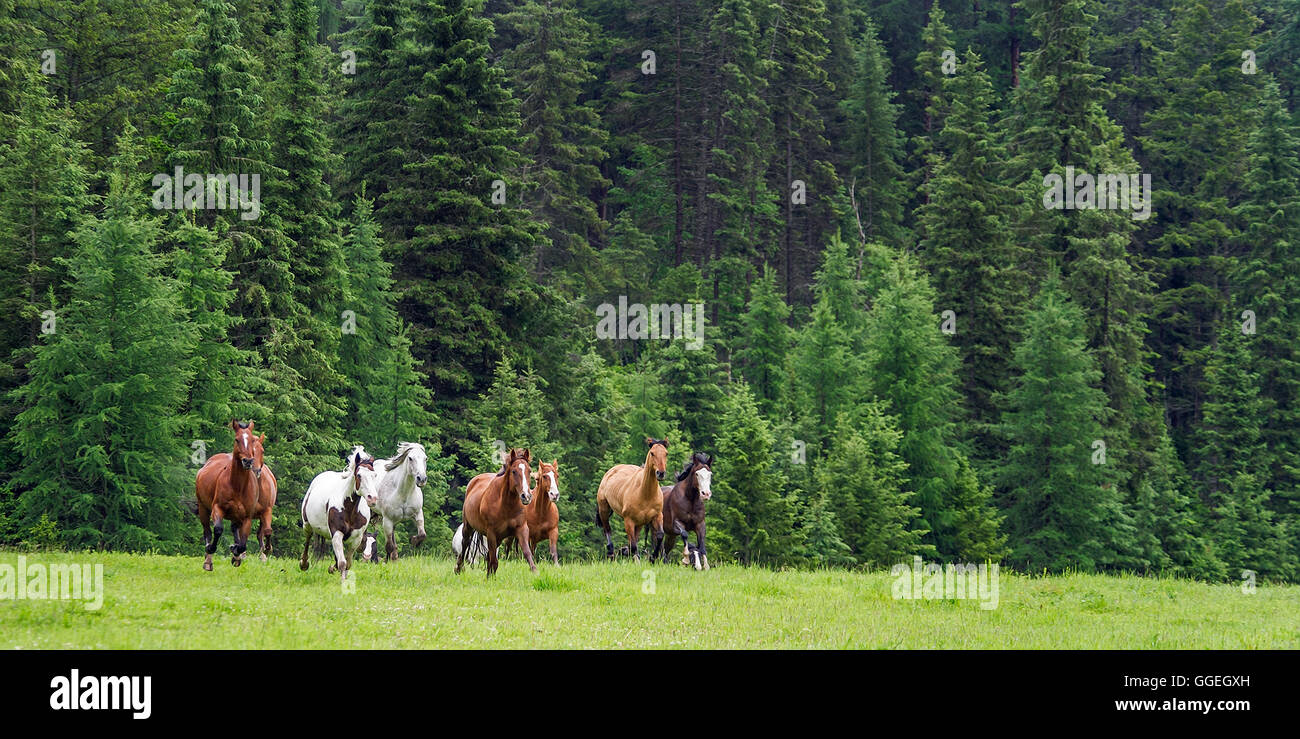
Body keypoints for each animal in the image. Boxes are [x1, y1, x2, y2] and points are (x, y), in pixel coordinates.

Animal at [194, 420, 278, 570]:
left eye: (261, 450)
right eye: (237, 439)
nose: (249, 462)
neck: (238, 486)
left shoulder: (252, 514)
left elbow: (254, 536)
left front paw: (238, 552)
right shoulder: (217, 508)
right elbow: (218, 529)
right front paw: (214, 550)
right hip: (203, 507)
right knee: (207, 531)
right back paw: (208, 559)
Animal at [299, 448, 380, 583]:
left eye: (374, 475)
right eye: (359, 475)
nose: (372, 498)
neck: (349, 509)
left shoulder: (356, 539)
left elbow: (348, 563)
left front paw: (336, 571)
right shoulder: (337, 533)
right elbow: (342, 563)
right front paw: (342, 581)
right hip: (307, 524)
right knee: (307, 538)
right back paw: (304, 564)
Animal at [455, 448, 535, 577]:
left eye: (529, 471)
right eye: (514, 471)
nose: (526, 496)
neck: (506, 506)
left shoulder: (522, 529)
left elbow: (528, 554)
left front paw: (535, 572)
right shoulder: (491, 533)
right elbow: (494, 561)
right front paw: (490, 578)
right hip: (468, 527)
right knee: (464, 545)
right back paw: (458, 569)